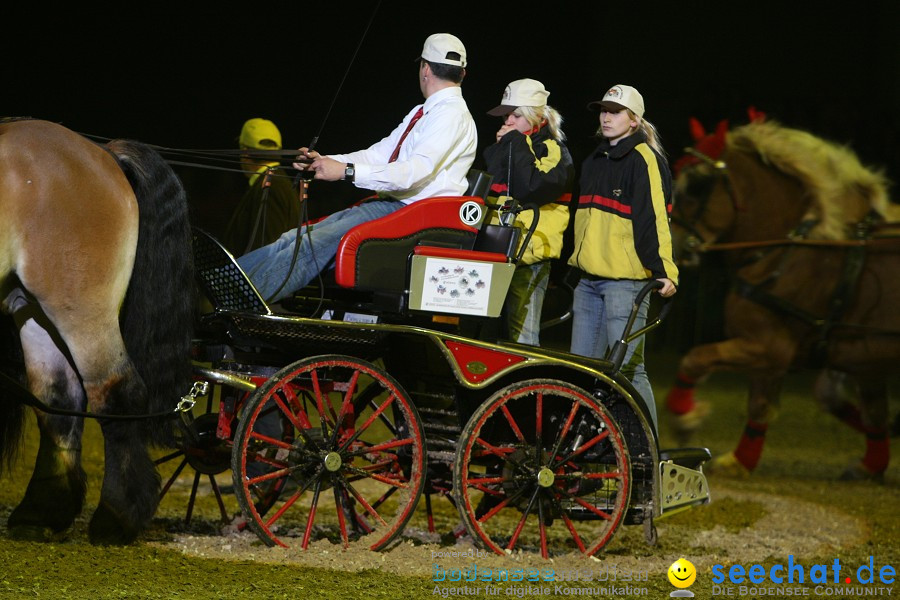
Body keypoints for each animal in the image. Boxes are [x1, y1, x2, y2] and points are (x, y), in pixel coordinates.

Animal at [0, 118, 195, 544]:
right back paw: (42, 511)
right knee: (57, 400)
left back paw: (118, 516)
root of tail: (102, 152)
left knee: (117, 393)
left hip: (81, 309)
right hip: (35, 311)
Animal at [660, 117, 900, 480]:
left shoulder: (769, 346)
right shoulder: (854, 357)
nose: (671, 247)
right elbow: (775, 404)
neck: (785, 253)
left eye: (698, 185)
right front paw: (742, 459)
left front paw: (686, 418)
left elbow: (697, 359)